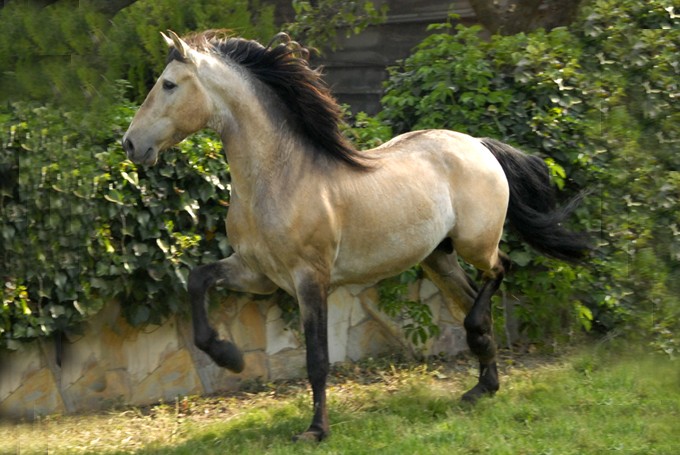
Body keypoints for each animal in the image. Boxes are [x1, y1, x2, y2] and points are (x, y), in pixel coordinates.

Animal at [122, 30, 590, 442]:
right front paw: (230, 357)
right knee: (475, 301)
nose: (130, 144)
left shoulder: (310, 279)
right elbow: (197, 280)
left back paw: (482, 365)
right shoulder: (256, 272)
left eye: (168, 84)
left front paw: (315, 430)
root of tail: (478, 144)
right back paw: (482, 387)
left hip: (475, 243)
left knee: (500, 271)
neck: (281, 178)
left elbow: (317, 358)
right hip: (438, 258)